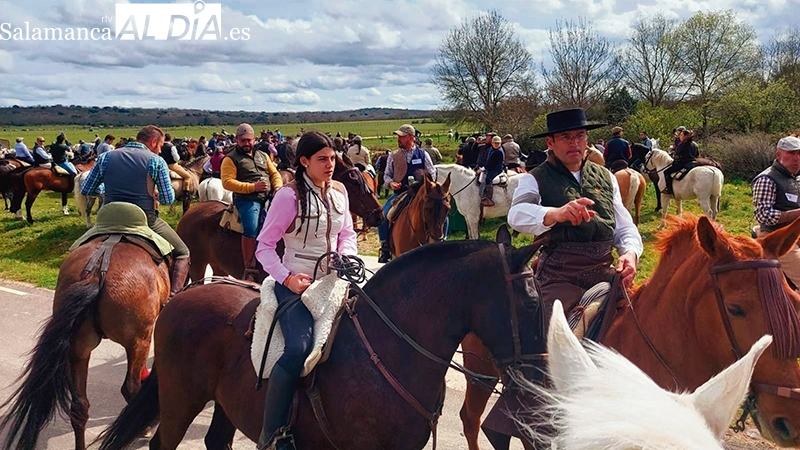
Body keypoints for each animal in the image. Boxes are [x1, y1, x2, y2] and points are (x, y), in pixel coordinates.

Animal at [0, 229, 170, 450]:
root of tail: (97, 273)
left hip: (79, 347)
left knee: (79, 406)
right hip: (138, 340)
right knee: (130, 388)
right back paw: (144, 427)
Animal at [92, 236, 544, 450]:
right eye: (531, 302)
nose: (540, 377)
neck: (389, 352)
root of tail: (184, 294)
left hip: (223, 403)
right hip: (181, 399)